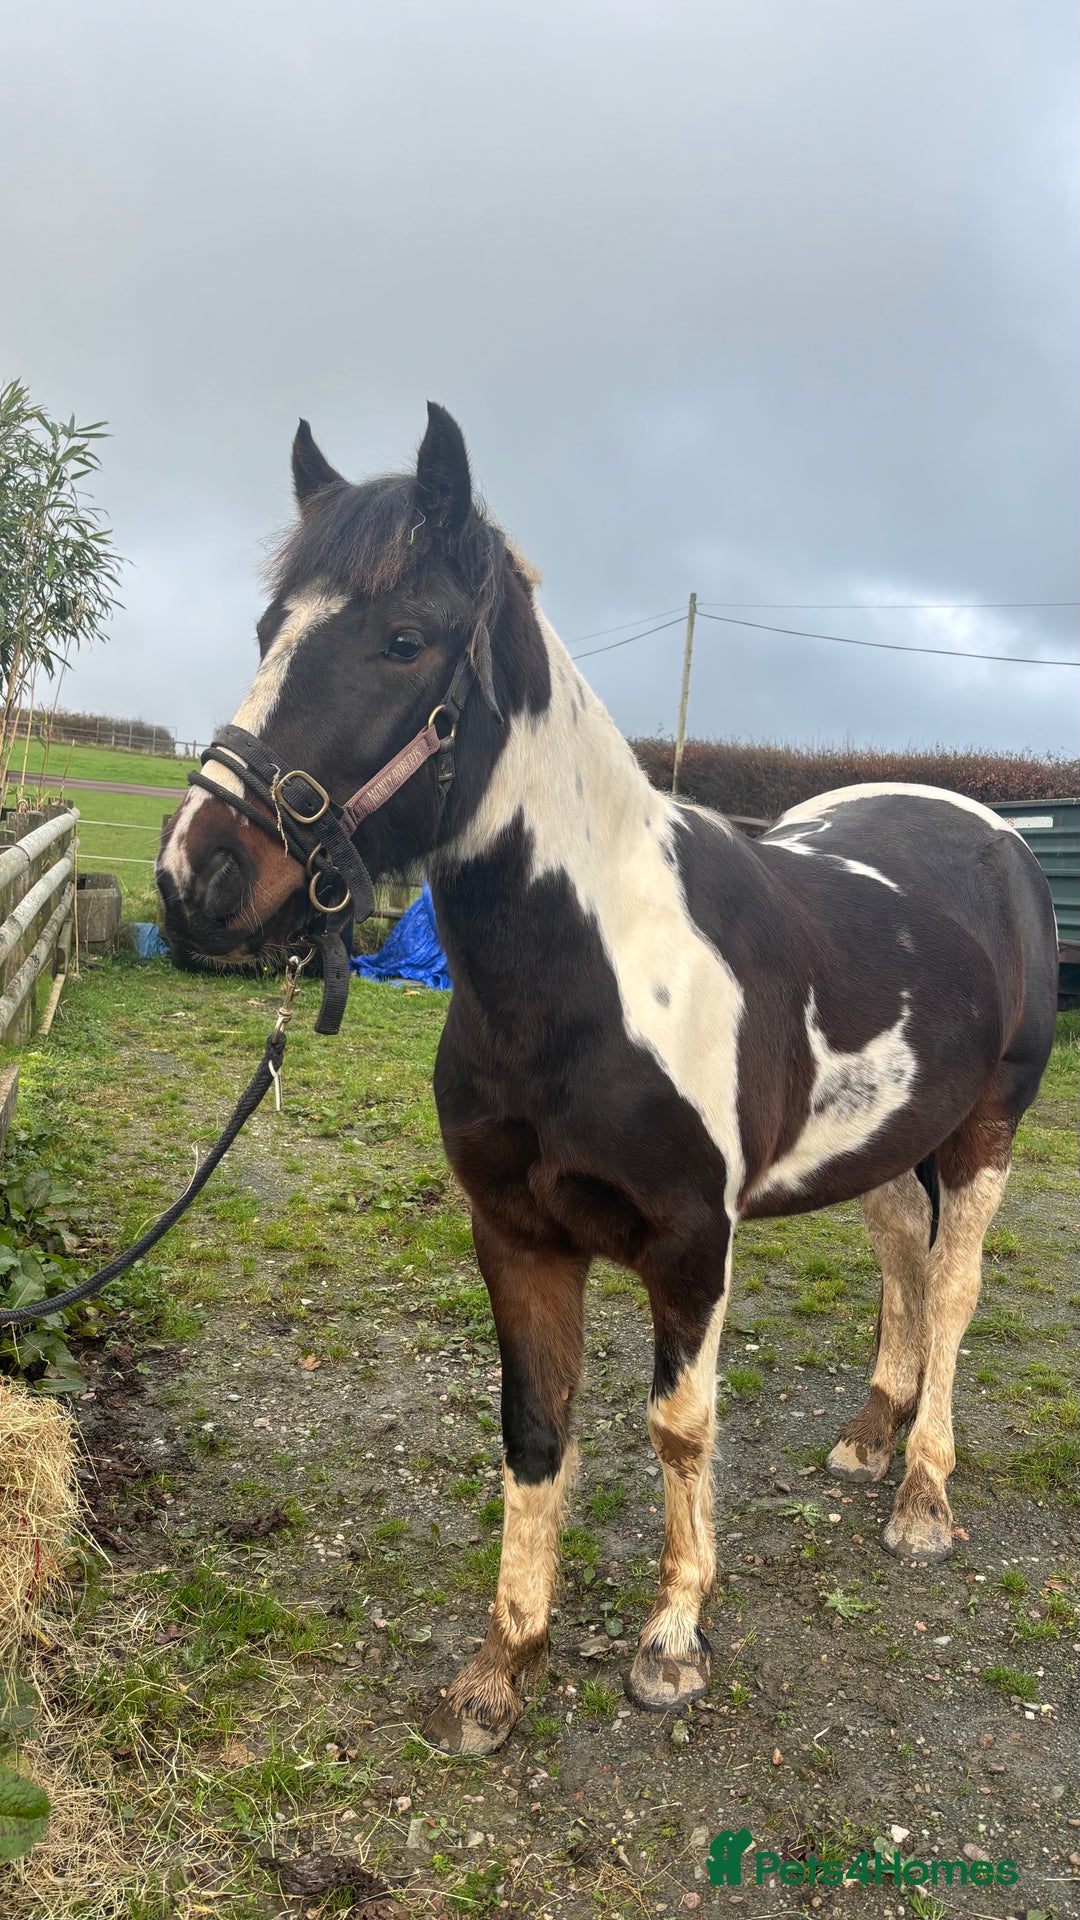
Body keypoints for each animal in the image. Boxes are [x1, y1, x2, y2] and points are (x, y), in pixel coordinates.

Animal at [158, 404, 1058, 1756]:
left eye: (403, 639)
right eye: (270, 631)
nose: (196, 875)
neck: (592, 977)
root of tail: (990, 827)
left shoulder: (691, 1240)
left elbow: (679, 1432)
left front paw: (672, 1642)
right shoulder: (519, 1234)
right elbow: (536, 1431)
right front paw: (502, 1668)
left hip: (984, 1128)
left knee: (951, 1290)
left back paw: (923, 1495)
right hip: (890, 1140)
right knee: (905, 1259)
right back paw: (869, 1437)